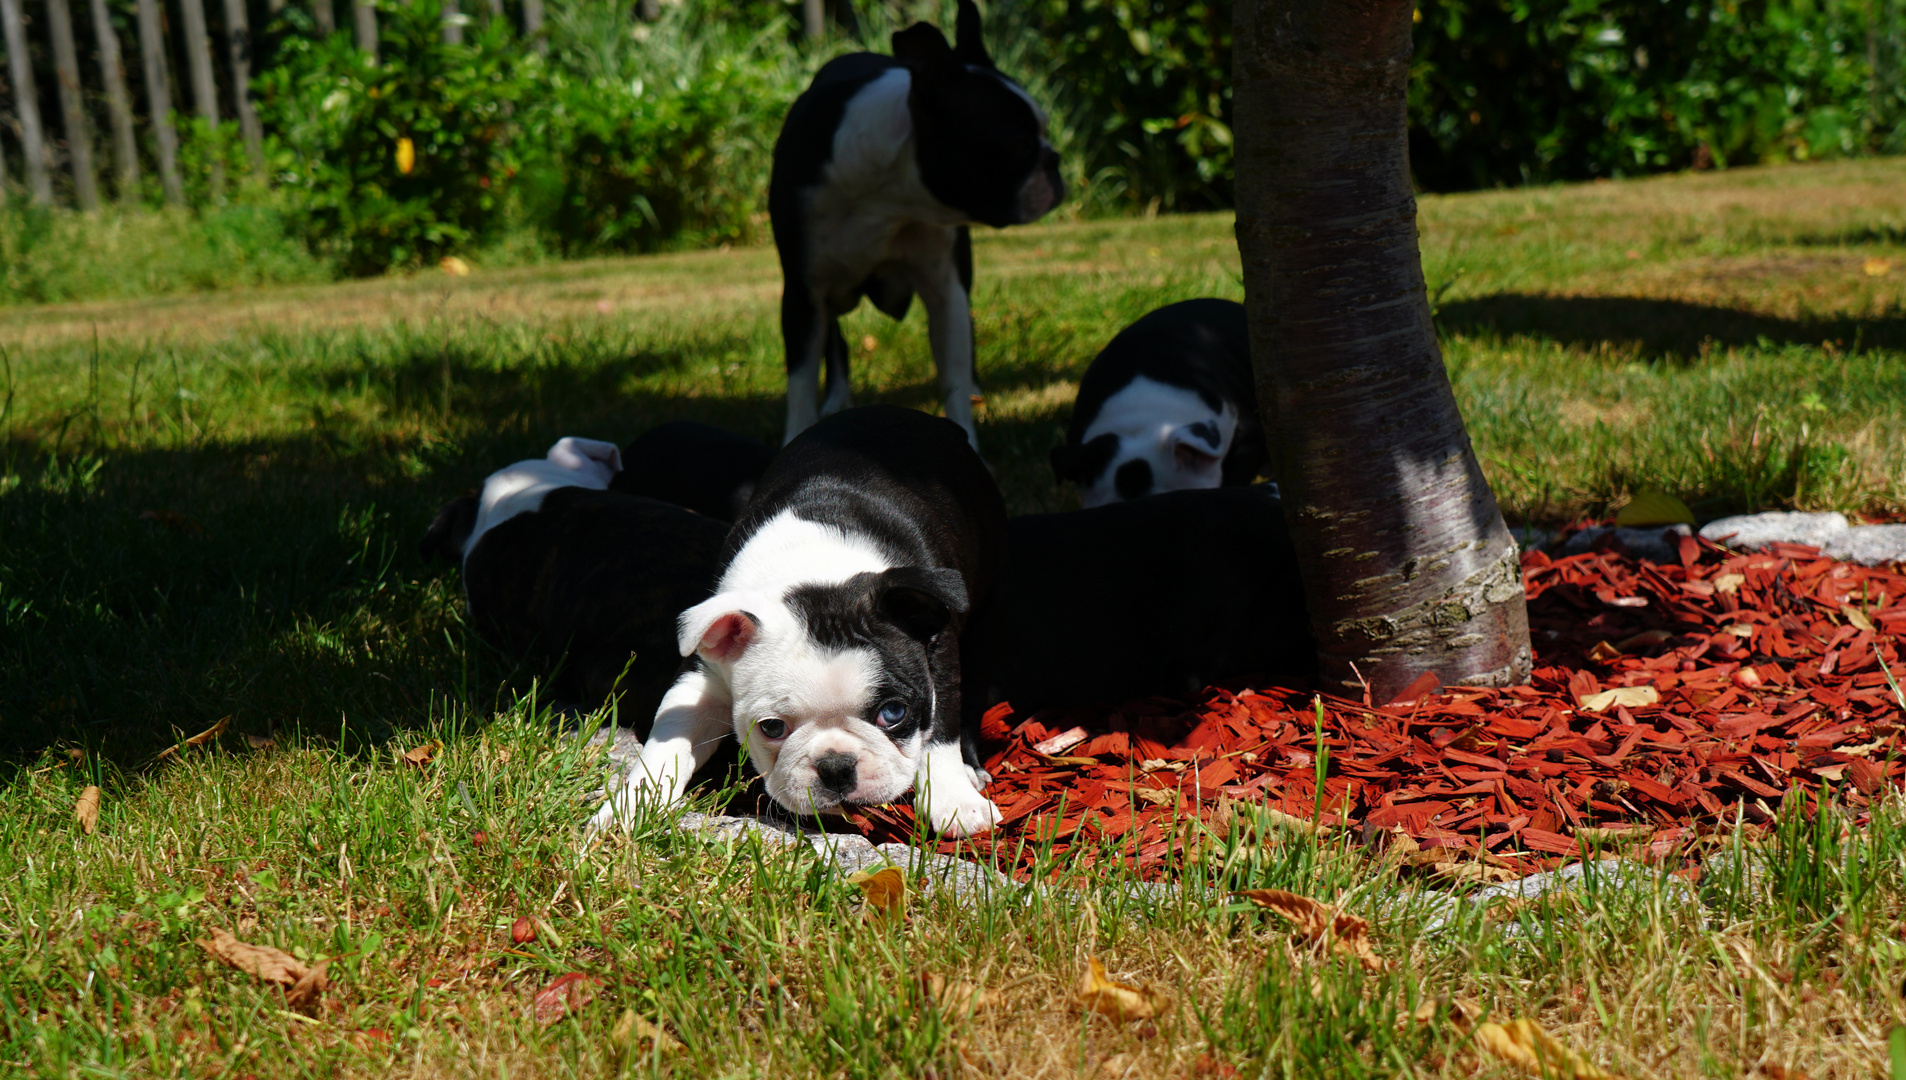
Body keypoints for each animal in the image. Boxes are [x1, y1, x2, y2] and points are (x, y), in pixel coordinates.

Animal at [766, 0, 1067, 447]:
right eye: (1019, 144)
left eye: (1044, 132)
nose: (1055, 160)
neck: (891, 198)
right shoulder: (803, 291)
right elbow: (801, 380)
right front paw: (797, 436)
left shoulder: (945, 288)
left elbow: (953, 373)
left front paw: (966, 437)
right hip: (832, 293)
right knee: (835, 338)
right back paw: (837, 399)